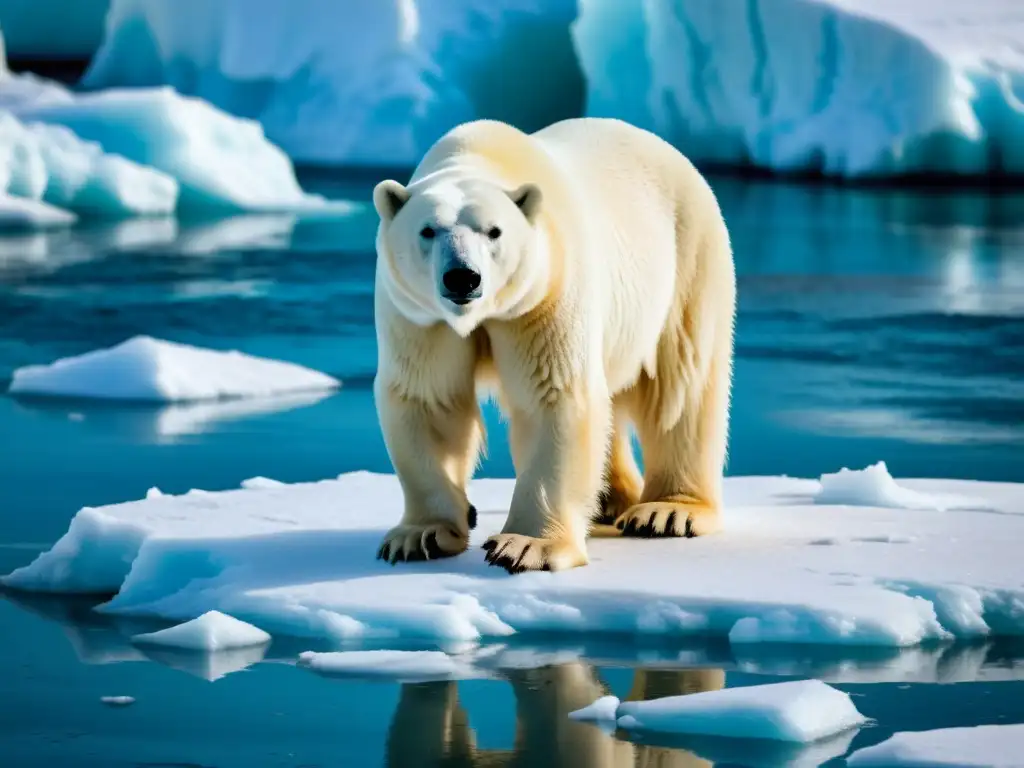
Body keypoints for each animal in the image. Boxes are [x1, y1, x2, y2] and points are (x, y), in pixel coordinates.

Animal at [372, 117, 733, 573]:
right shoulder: (421, 316)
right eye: (427, 230)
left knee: (680, 385)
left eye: (494, 231)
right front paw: (420, 535)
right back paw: (611, 501)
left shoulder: (546, 292)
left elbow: (553, 394)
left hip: (687, 257)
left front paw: (525, 546)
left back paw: (668, 511)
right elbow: (429, 399)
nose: (462, 277)